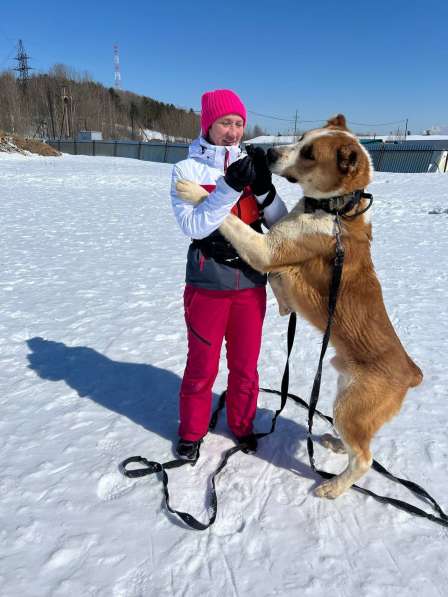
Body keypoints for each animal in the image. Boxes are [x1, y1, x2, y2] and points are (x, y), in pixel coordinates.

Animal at [177, 115, 422, 498]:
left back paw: (332, 488)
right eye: (303, 137)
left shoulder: (266, 250)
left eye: (308, 153)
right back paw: (335, 444)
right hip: (346, 395)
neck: (335, 212)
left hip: (349, 407)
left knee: (364, 458)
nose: (266, 153)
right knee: (361, 444)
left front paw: (195, 191)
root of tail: (412, 372)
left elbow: (232, 223)